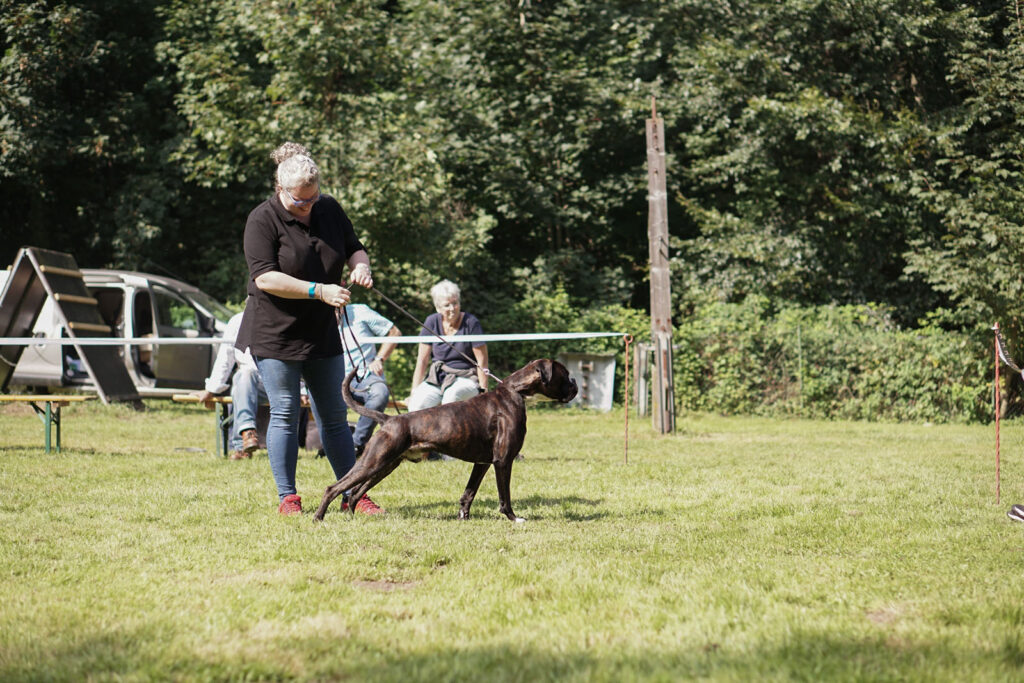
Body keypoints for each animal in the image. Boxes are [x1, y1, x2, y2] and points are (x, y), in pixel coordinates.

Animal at [311, 360, 577, 520]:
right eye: (566, 374)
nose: (575, 384)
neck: (517, 392)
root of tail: (389, 419)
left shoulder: (482, 463)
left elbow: (469, 493)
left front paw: (464, 518)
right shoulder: (502, 461)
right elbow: (505, 497)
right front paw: (514, 518)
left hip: (384, 465)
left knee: (355, 492)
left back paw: (352, 519)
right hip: (372, 462)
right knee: (334, 488)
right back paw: (318, 518)